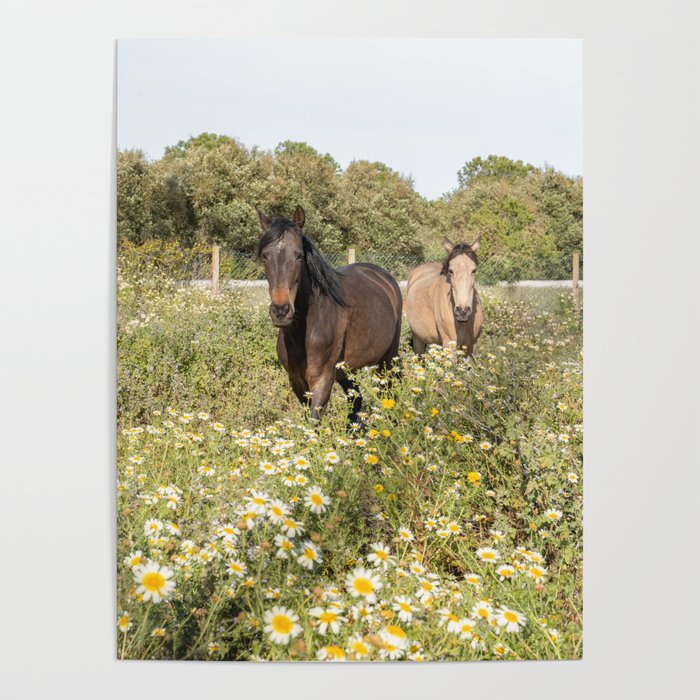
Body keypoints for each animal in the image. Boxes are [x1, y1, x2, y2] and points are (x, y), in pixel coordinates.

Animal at [256, 205, 403, 423]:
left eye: (299, 256)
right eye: (265, 256)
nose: (281, 311)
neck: (305, 328)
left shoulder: (322, 379)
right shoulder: (297, 381)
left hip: (386, 362)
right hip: (347, 370)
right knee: (356, 400)